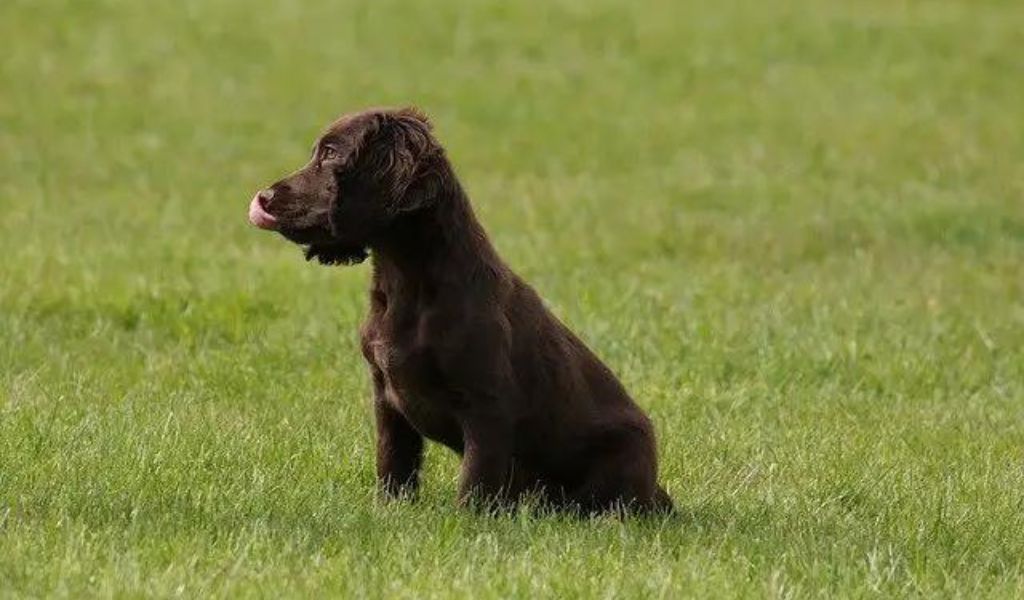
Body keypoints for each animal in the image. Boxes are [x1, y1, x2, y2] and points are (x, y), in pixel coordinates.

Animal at [249, 106, 671, 509]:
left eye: (331, 154)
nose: (263, 198)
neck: (409, 288)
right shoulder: (386, 397)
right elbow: (393, 462)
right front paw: (389, 510)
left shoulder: (486, 404)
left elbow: (476, 476)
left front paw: (467, 520)